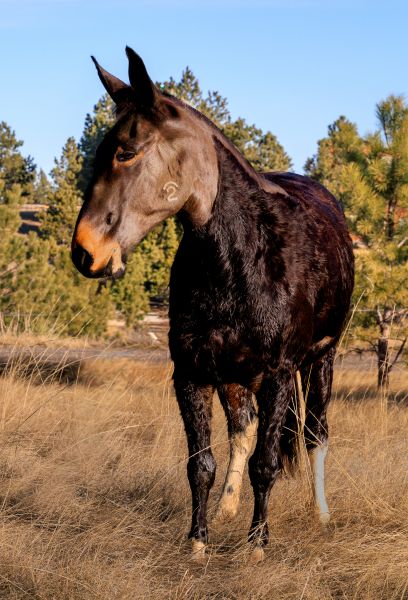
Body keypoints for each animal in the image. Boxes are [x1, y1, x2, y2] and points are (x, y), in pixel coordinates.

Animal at [71, 47, 354, 563]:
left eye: (126, 150)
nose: (86, 252)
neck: (243, 257)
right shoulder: (192, 374)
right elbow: (201, 464)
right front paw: (198, 540)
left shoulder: (279, 373)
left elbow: (268, 462)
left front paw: (257, 544)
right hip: (235, 377)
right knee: (243, 431)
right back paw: (227, 508)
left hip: (321, 361)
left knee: (314, 434)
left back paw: (319, 513)